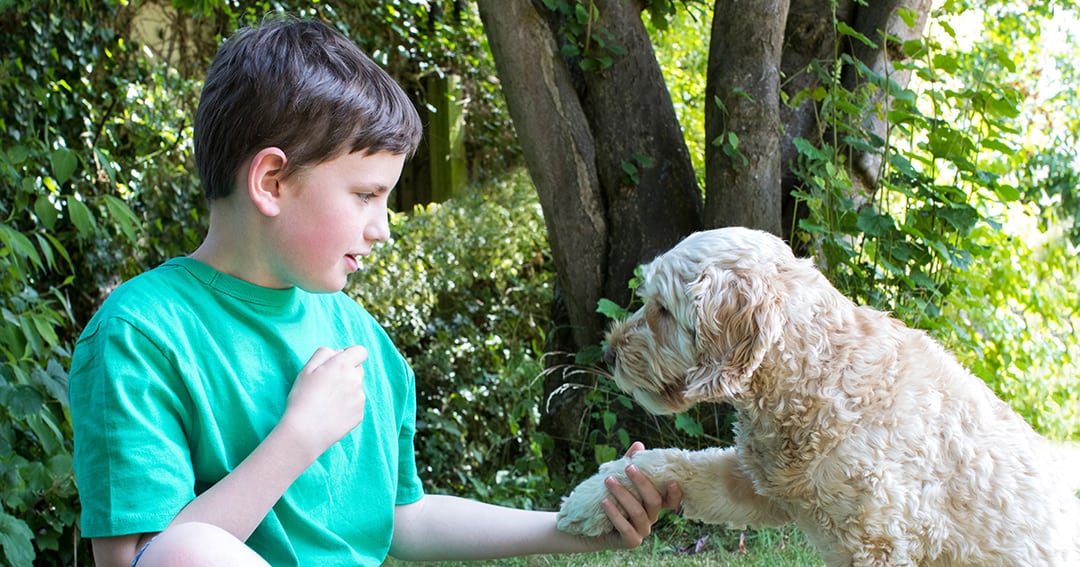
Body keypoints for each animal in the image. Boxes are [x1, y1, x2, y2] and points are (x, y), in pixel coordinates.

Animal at [557, 226, 1080, 565]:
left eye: (663, 309)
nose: (608, 353)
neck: (822, 377)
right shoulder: (758, 486)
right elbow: (666, 461)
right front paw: (591, 498)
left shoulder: (880, 544)